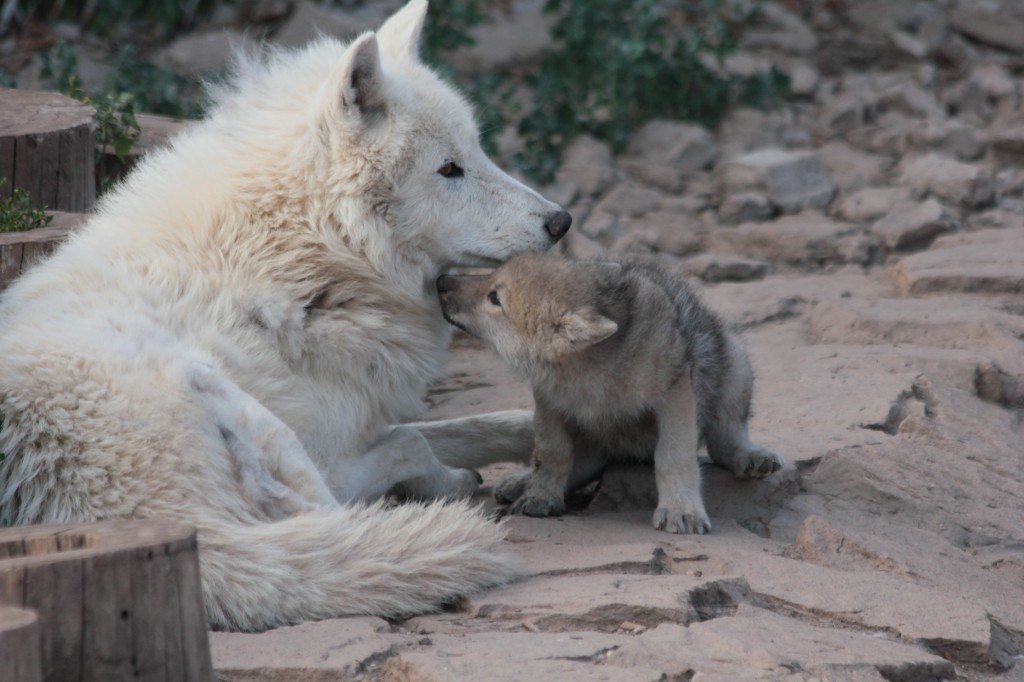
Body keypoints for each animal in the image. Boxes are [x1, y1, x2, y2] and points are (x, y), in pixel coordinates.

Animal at [0, 0, 565, 630]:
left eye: (479, 151)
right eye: (449, 169)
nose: (560, 221)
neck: (304, 252)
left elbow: (481, 424)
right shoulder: (333, 446)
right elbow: (413, 440)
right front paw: (452, 481)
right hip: (243, 412)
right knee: (334, 510)